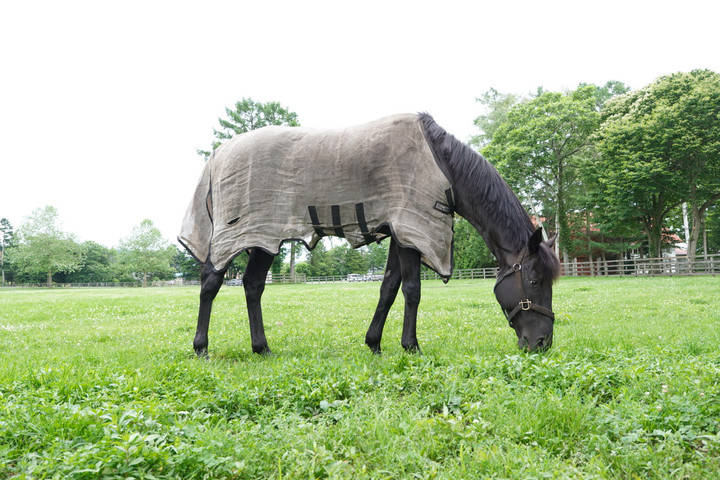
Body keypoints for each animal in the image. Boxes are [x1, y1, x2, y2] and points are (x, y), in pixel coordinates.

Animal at [180, 113, 564, 356]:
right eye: (533, 281)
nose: (542, 343)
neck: (443, 166)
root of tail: (218, 155)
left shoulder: (398, 232)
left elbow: (389, 288)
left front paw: (375, 343)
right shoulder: (413, 230)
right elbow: (412, 290)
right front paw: (411, 346)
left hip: (264, 240)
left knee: (252, 286)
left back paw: (261, 348)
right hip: (239, 234)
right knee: (211, 282)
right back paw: (201, 348)